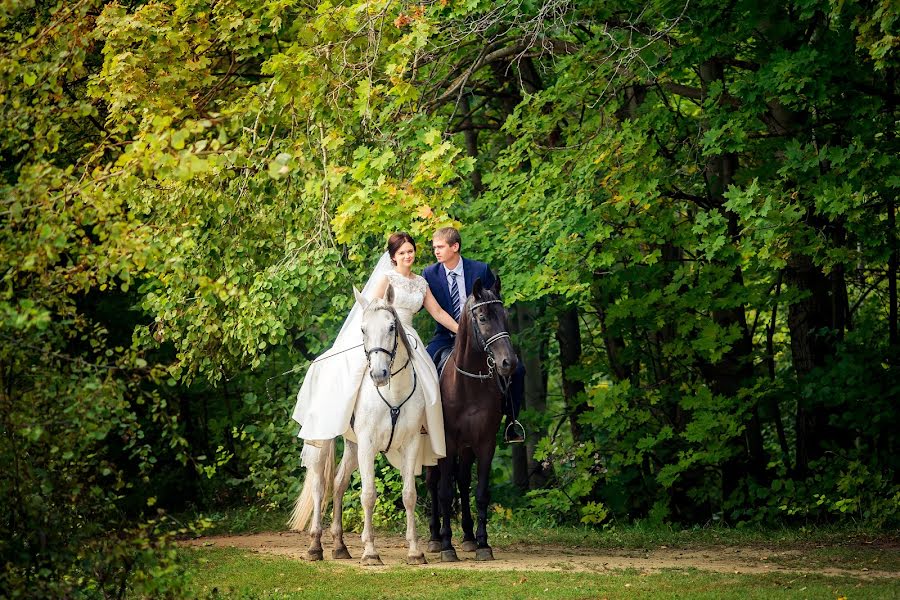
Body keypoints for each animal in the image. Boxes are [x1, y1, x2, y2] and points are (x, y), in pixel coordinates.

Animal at [288, 286, 428, 568]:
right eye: (362, 329)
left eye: (391, 327)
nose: (379, 375)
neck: (393, 393)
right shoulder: (368, 445)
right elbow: (369, 494)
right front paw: (370, 551)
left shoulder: (411, 444)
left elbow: (409, 495)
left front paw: (414, 551)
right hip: (323, 442)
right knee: (319, 485)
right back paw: (315, 546)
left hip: (352, 446)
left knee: (338, 483)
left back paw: (340, 546)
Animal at [426, 278, 516, 564]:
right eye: (483, 317)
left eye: (505, 316)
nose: (509, 363)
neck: (469, 384)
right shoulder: (446, 444)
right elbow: (444, 492)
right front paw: (446, 545)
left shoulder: (485, 443)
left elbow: (481, 493)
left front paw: (483, 543)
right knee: (433, 483)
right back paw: (434, 538)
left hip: (466, 448)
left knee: (464, 482)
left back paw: (467, 536)